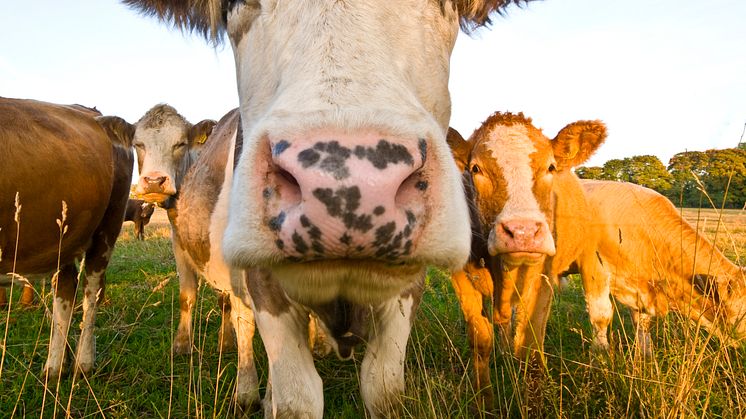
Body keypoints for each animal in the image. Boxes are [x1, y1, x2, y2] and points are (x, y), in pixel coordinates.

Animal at [0, 97, 132, 378]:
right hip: (65, 239)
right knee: (65, 288)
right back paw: (55, 367)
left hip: (109, 225)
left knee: (91, 291)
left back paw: (83, 364)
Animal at [444, 112, 608, 406]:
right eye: (475, 169)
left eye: (551, 167)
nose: (523, 231)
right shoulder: (461, 275)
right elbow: (480, 338)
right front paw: (484, 401)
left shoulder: (543, 276)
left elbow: (530, 346)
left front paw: (533, 402)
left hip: (590, 257)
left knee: (599, 314)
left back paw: (599, 363)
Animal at [576, 180, 744, 358]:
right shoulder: (593, 267)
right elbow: (601, 316)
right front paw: (600, 354)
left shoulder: (642, 285)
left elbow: (643, 321)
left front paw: (646, 353)